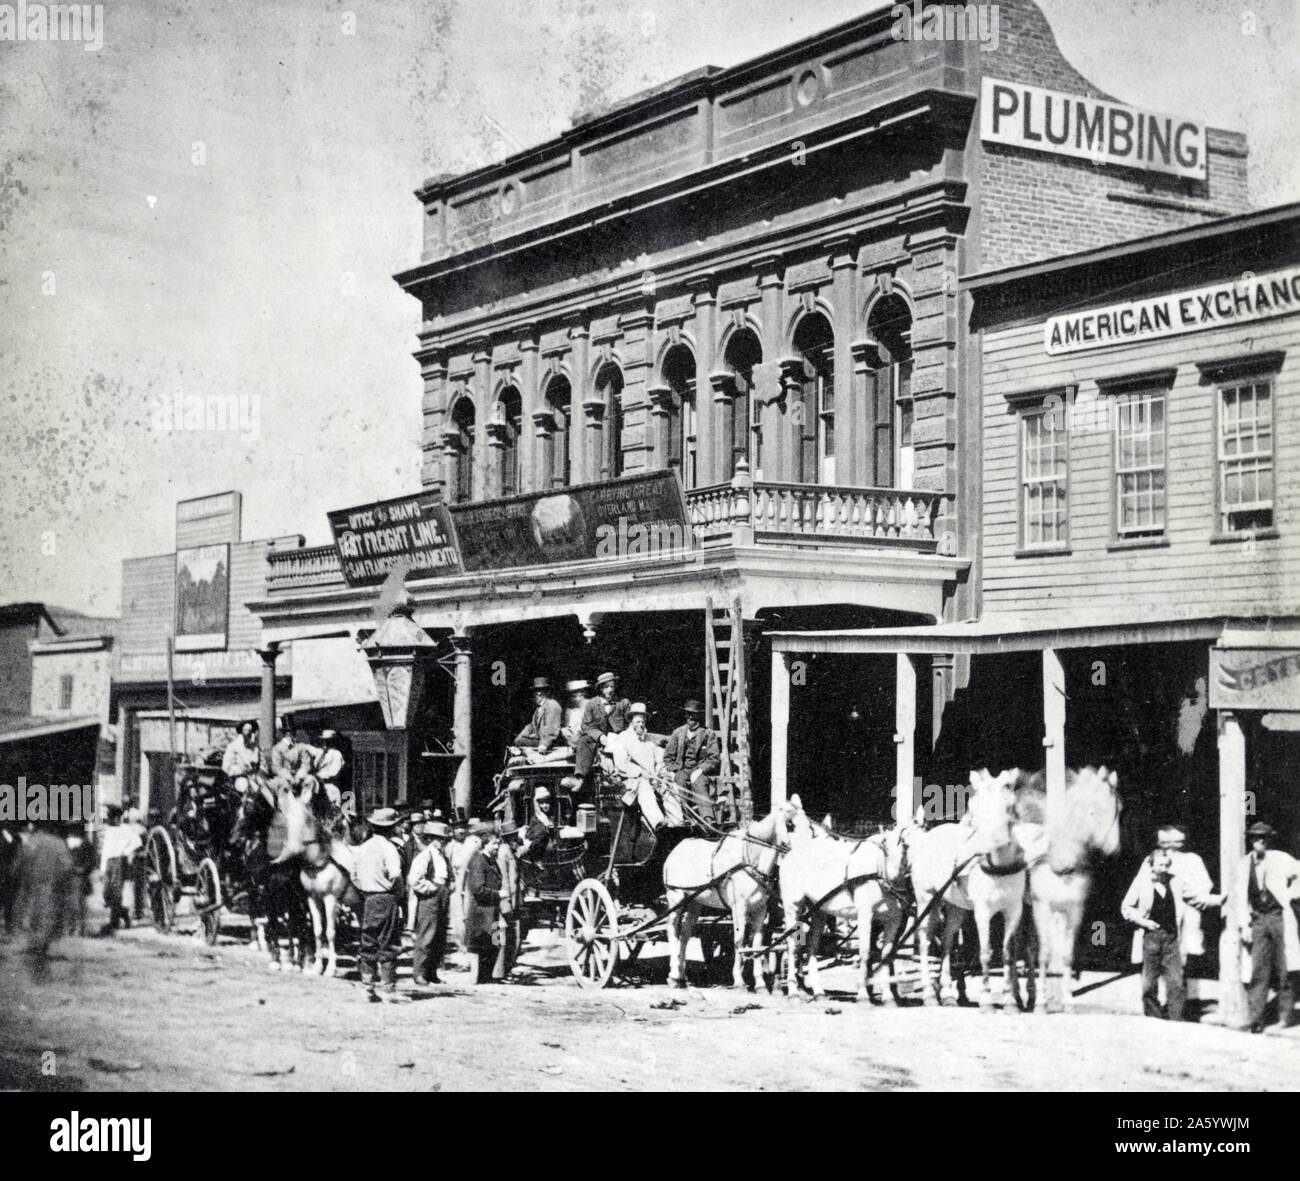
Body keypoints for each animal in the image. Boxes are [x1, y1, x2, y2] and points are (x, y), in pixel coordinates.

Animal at [273, 785, 356, 978]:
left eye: (305, 819)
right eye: (286, 816)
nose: (290, 849)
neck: (319, 863)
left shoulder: (331, 899)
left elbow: (330, 932)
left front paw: (331, 969)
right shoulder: (312, 898)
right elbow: (318, 930)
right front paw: (317, 967)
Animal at [665, 806, 785, 993]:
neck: (749, 860)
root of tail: (676, 849)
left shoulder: (760, 909)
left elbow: (757, 941)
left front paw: (760, 984)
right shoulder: (739, 908)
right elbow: (739, 940)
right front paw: (739, 981)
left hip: (694, 903)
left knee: (685, 934)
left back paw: (682, 977)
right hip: (675, 898)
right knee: (672, 931)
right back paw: (673, 975)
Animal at [774, 796, 909, 998]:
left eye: (905, 847)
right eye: (884, 847)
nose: (895, 882)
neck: (877, 873)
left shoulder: (893, 919)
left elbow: (886, 955)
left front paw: (888, 996)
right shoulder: (865, 915)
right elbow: (865, 952)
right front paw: (863, 994)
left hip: (818, 910)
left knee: (812, 944)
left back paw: (818, 991)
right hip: (793, 906)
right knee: (792, 945)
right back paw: (793, 991)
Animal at [1013, 764, 1118, 1014]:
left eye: (1120, 808)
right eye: (1095, 807)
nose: (1114, 848)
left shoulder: (1073, 909)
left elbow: (1066, 956)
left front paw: (1068, 1001)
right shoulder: (1043, 907)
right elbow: (1045, 954)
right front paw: (1043, 1004)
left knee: (1028, 948)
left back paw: (1030, 994)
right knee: (1017, 947)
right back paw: (1018, 996)